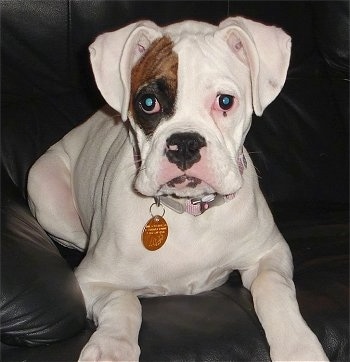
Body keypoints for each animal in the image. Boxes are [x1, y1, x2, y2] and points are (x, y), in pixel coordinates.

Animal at [28, 16, 328, 360]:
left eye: (225, 101)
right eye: (148, 103)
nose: (184, 143)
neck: (190, 212)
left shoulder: (271, 253)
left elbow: (273, 288)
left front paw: (299, 347)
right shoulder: (91, 280)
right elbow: (123, 301)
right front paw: (111, 347)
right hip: (44, 188)